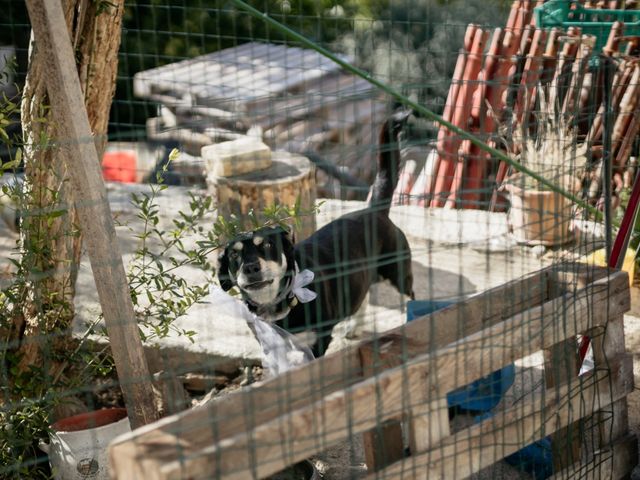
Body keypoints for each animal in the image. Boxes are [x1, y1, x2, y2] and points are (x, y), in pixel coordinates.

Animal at [219, 109, 416, 356]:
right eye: (234, 255)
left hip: (399, 275)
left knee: (410, 298)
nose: (251, 267)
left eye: (268, 246)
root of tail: (374, 210)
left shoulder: (319, 339)